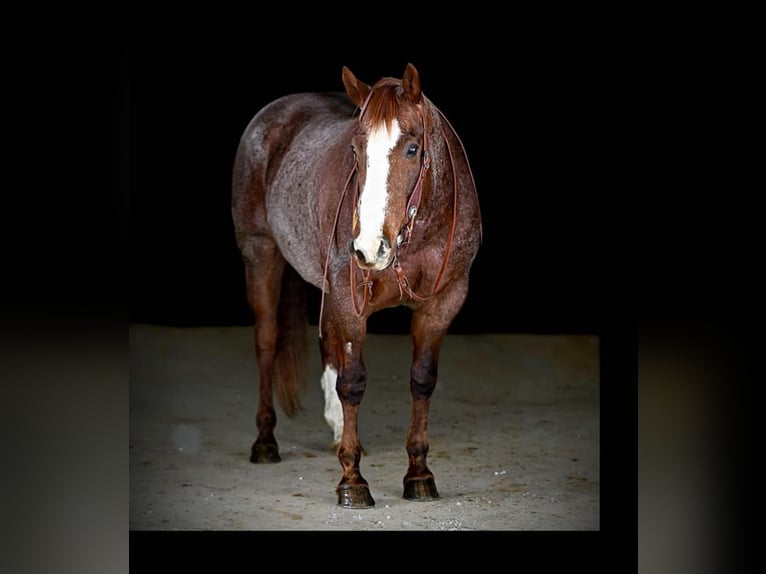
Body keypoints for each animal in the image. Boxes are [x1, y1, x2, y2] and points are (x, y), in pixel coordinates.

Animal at [231, 65, 484, 510]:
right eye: (354, 151)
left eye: (413, 149)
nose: (368, 247)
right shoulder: (351, 304)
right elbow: (353, 383)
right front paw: (352, 481)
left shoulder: (442, 304)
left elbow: (422, 380)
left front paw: (419, 475)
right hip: (260, 256)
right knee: (266, 343)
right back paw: (265, 442)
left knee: (327, 347)